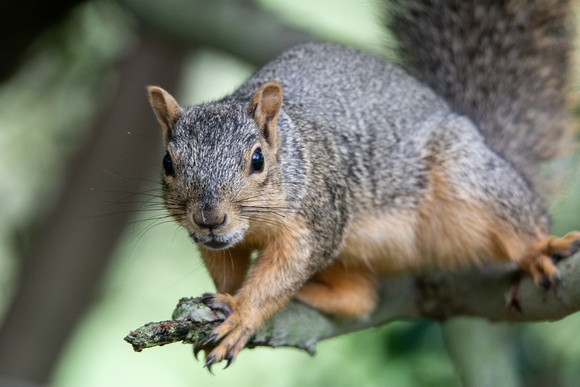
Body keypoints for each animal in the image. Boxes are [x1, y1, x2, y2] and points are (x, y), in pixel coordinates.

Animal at [146, 0, 580, 372]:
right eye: (167, 162)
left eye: (257, 160)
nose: (209, 218)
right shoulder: (218, 244)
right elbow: (227, 269)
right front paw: (225, 297)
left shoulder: (317, 216)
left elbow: (285, 269)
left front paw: (242, 314)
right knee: (362, 298)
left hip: (469, 177)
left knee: (518, 218)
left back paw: (540, 248)